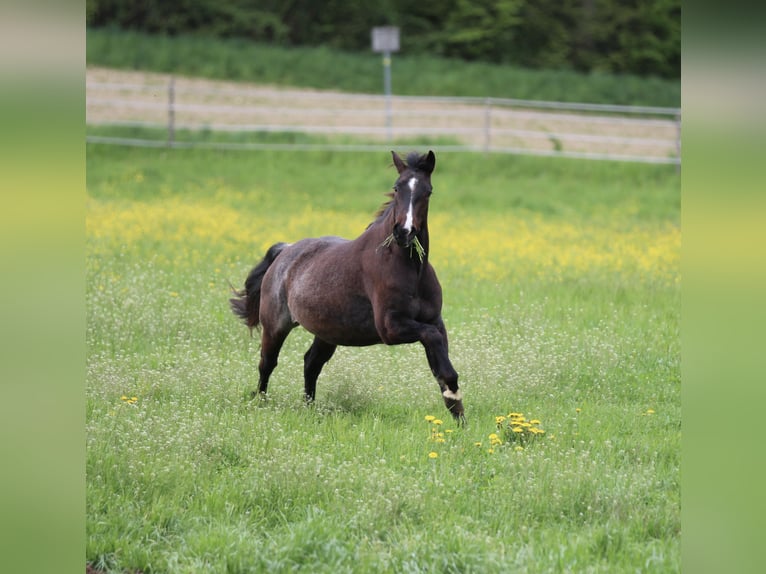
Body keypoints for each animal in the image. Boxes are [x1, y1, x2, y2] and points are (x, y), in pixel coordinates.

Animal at [230, 150, 464, 422]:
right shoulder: (391, 327)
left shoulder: (434, 321)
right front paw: (455, 400)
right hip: (275, 326)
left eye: (428, 191)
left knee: (311, 363)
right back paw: (260, 403)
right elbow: (432, 340)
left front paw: (458, 412)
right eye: (397, 188)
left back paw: (310, 409)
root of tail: (285, 250)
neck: (410, 269)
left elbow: (440, 366)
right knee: (267, 363)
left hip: (327, 332)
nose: (403, 232)